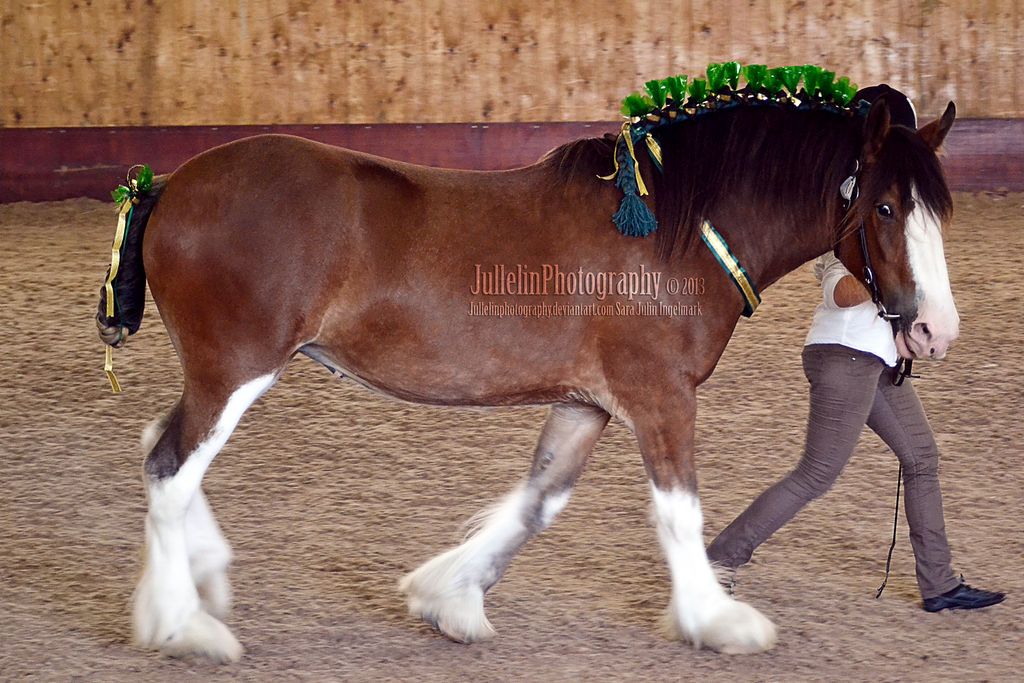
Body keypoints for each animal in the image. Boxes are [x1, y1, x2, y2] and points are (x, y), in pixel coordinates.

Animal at [96, 97, 958, 663]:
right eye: (886, 207)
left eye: (935, 212)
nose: (932, 329)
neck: (681, 232)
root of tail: (167, 188)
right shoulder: (660, 396)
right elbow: (678, 512)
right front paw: (716, 619)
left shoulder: (587, 403)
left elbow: (537, 502)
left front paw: (450, 600)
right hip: (236, 369)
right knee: (170, 465)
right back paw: (182, 624)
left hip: (223, 374)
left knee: (157, 445)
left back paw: (199, 579)